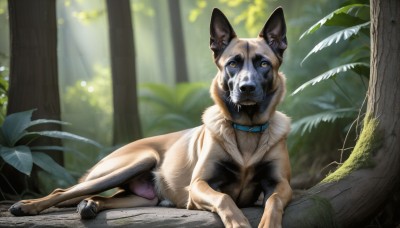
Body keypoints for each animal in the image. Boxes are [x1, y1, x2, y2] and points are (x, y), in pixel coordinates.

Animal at [9, 7, 292, 228]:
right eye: (233, 63)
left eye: (263, 64)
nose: (246, 88)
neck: (246, 129)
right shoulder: (199, 184)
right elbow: (224, 198)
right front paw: (238, 222)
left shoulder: (280, 184)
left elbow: (274, 200)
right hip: (133, 163)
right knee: (63, 191)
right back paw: (26, 206)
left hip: (142, 197)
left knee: (105, 198)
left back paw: (89, 206)